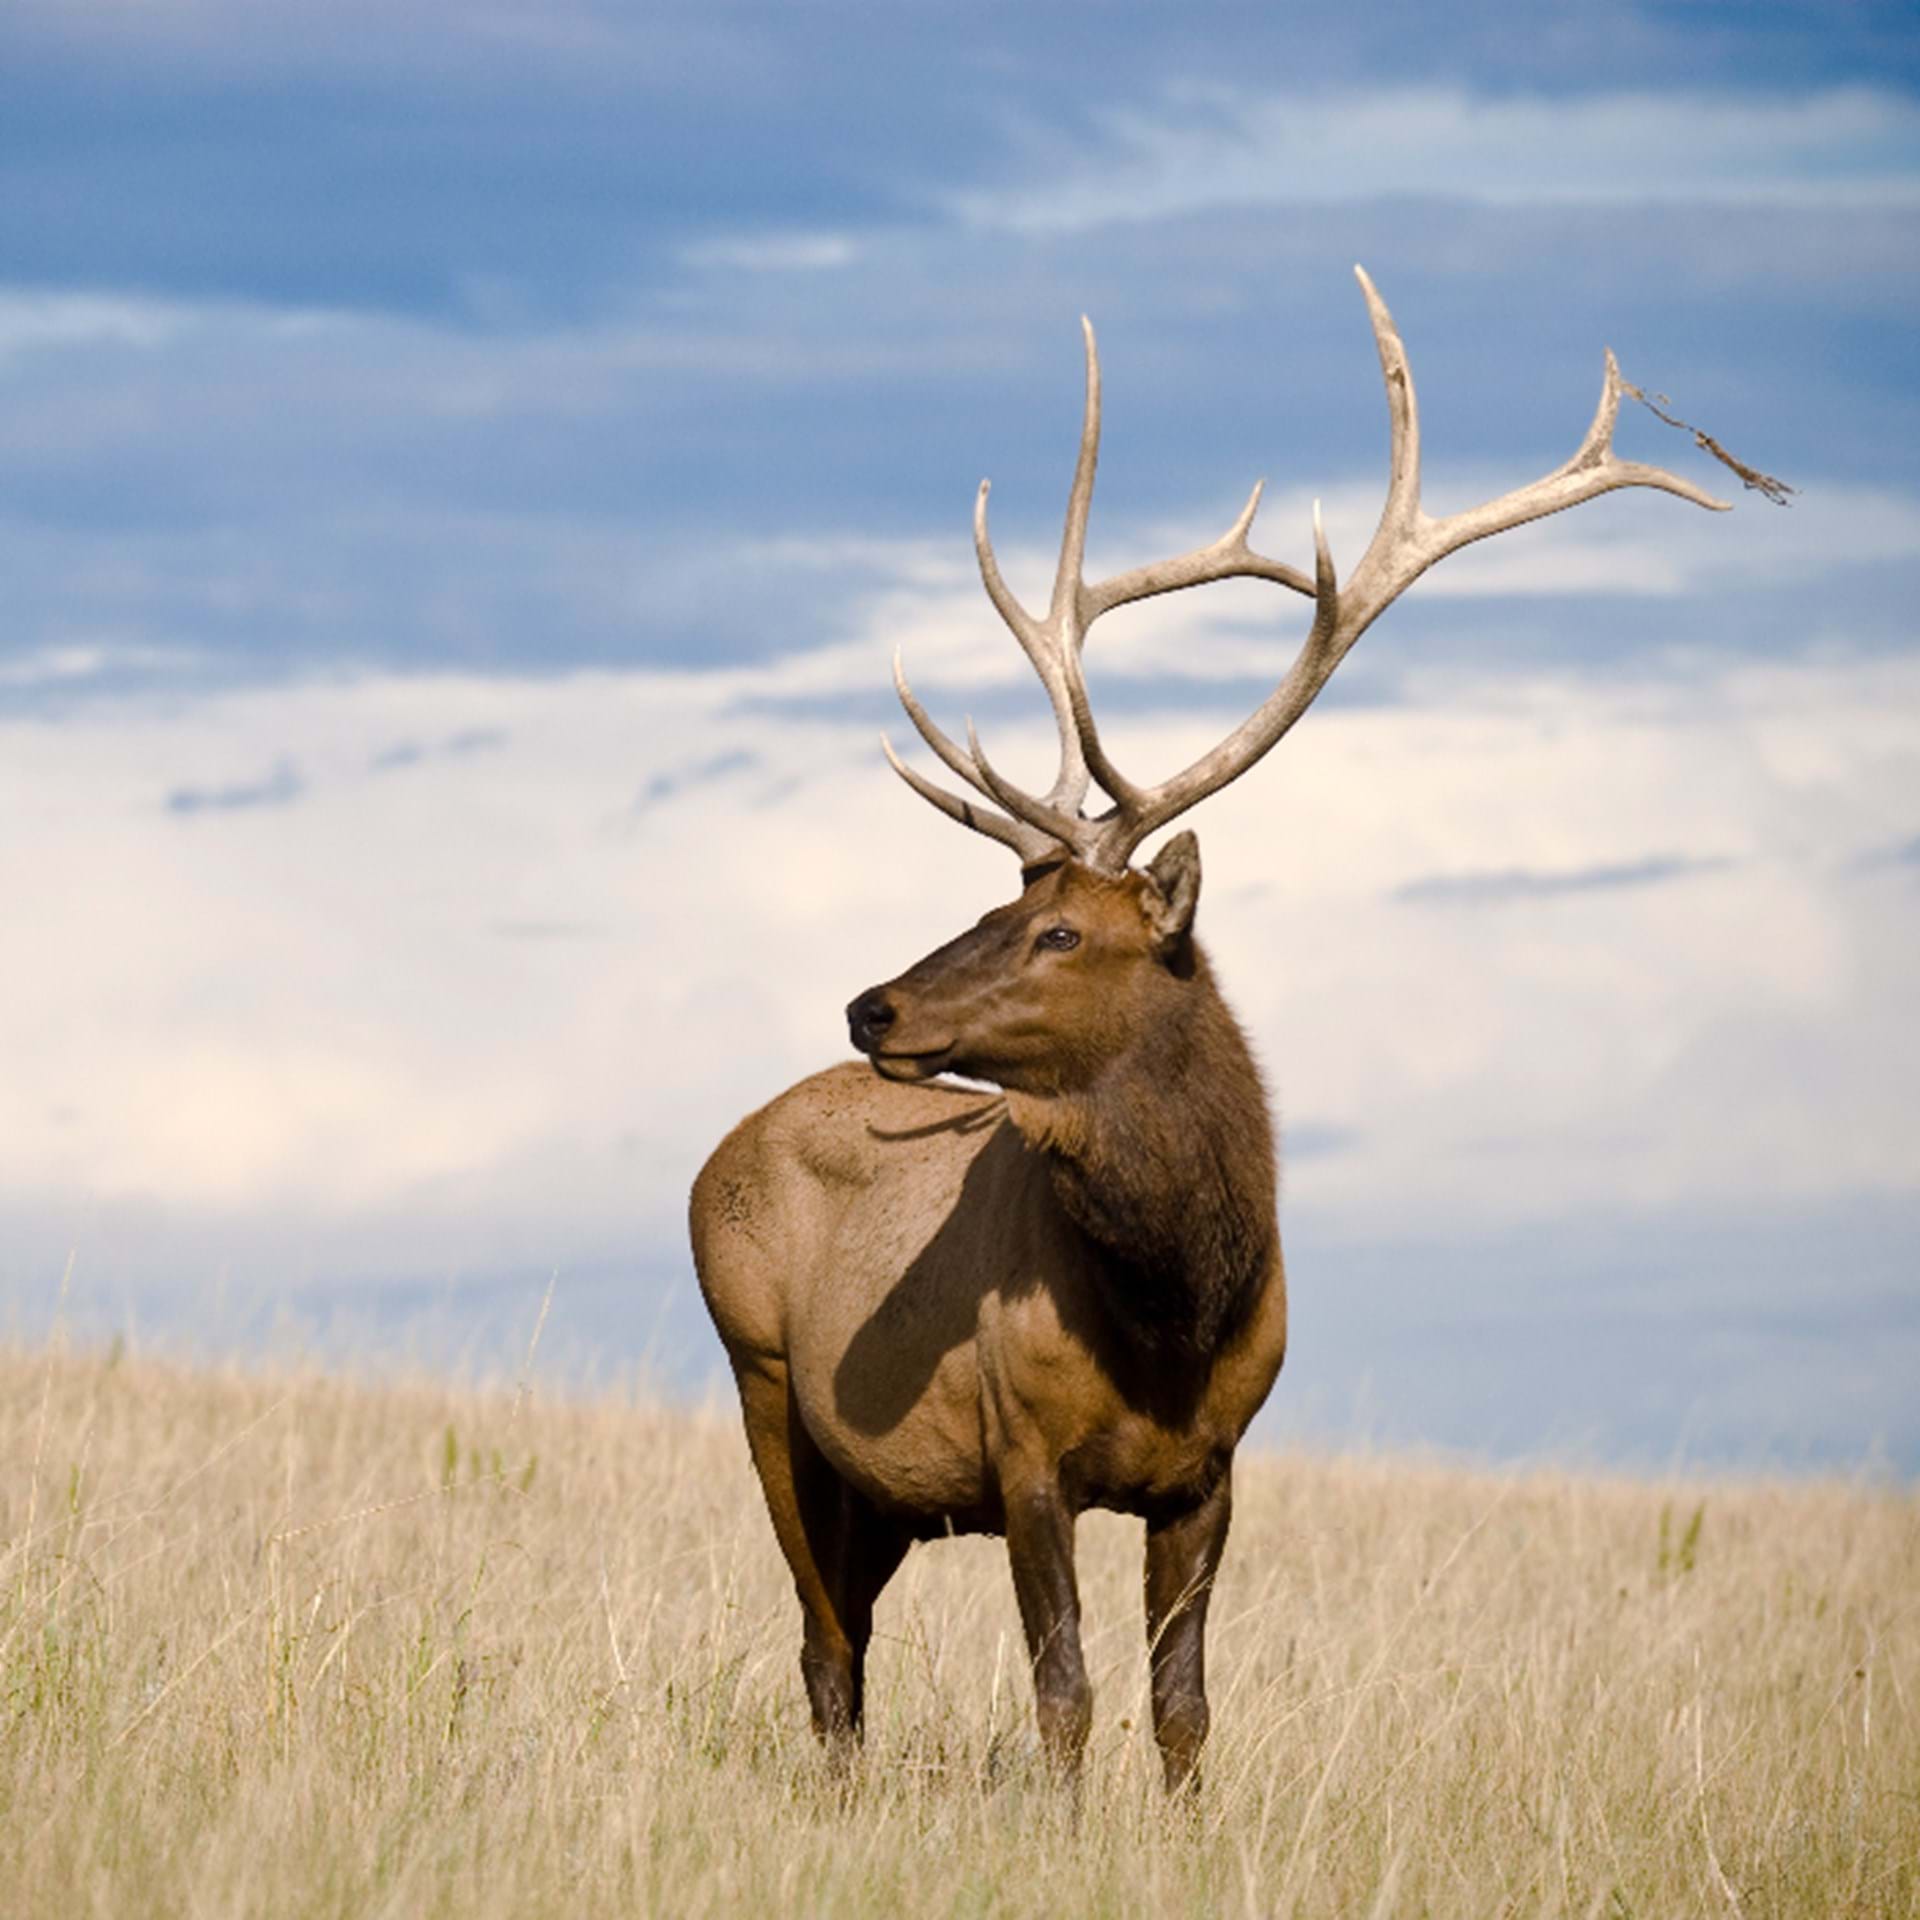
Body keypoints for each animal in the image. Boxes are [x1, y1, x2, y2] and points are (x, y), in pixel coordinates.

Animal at [690, 268, 1729, 1791]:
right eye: (1005, 902)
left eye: (1060, 932)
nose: (871, 1002)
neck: (1173, 1316)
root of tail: (719, 1149)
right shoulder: (1021, 1452)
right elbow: (1066, 1696)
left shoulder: (1215, 1468)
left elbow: (1183, 1706)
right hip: (766, 1383)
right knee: (823, 1651)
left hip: (877, 1491)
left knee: (845, 1648)